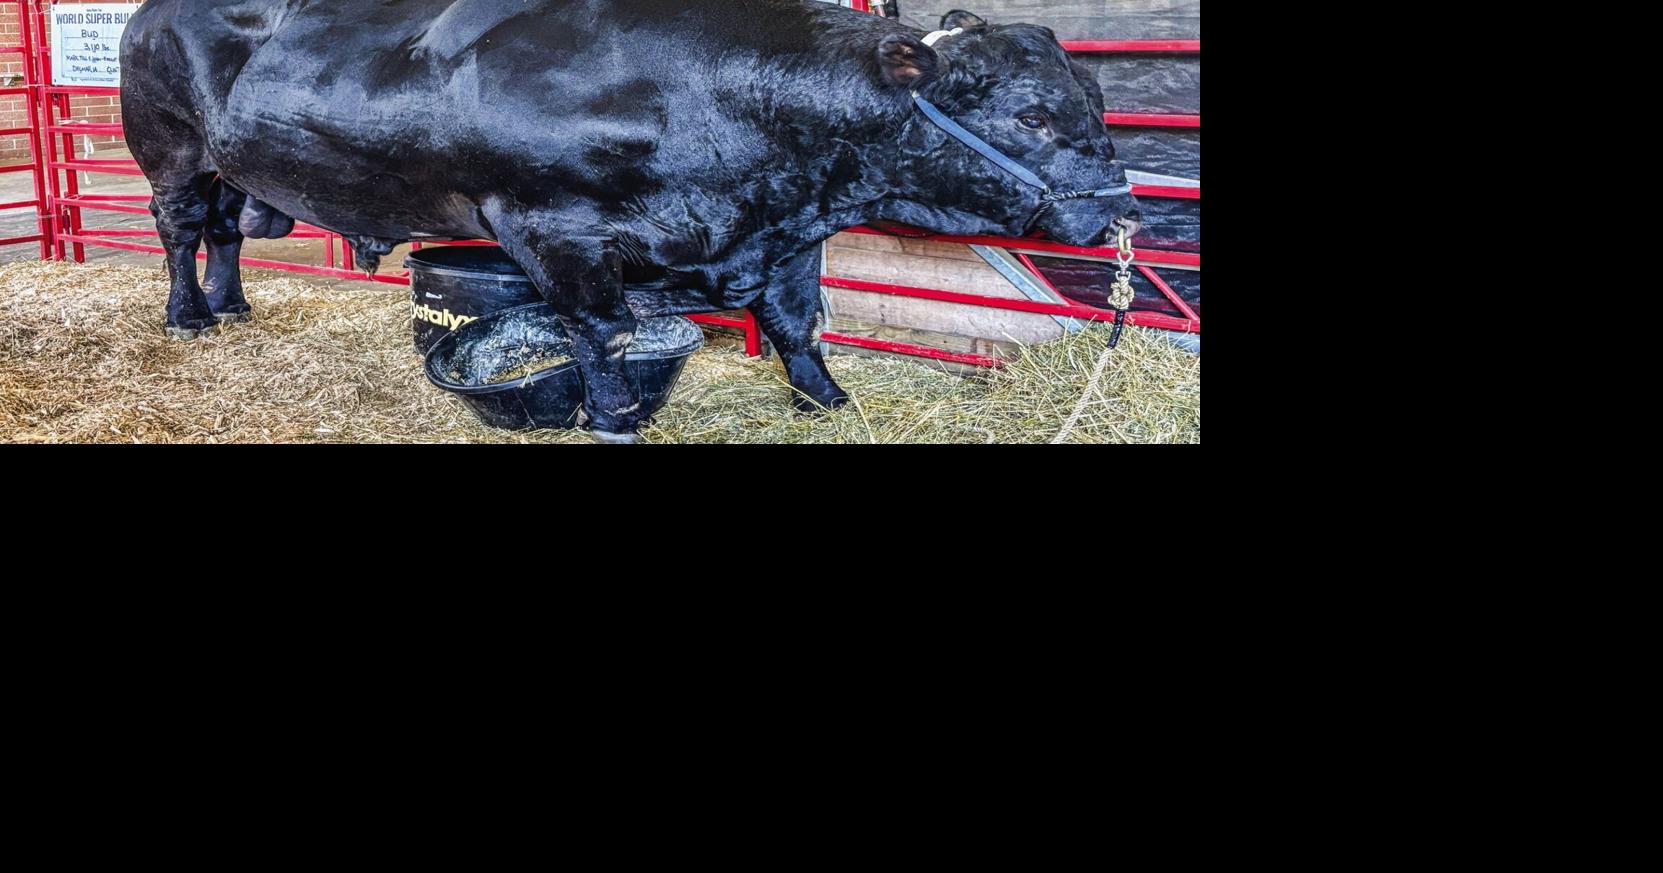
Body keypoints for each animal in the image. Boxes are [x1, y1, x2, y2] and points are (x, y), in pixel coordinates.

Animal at [121, 0, 1140, 442]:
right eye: (1031, 116)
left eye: (1095, 97)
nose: (1121, 209)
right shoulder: (555, 231)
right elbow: (602, 337)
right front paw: (612, 420)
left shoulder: (787, 233)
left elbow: (795, 328)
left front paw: (829, 402)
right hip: (168, 147)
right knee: (178, 228)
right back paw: (187, 316)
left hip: (229, 164)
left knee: (223, 231)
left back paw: (231, 304)